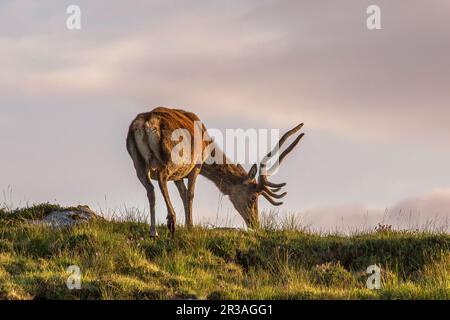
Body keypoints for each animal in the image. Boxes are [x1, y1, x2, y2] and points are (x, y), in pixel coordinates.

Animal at [125, 106, 304, 236]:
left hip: (137, 162)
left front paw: (187, 223)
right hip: (171, 158)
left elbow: (183, 194)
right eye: (253, 197)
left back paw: (153, 231)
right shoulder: (196, 166)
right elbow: (190, 194)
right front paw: (190, 226)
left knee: (150, 189)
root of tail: (145, 124)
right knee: (162, 178)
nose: (255, 223)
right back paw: (171, 221)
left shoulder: (179, 175)